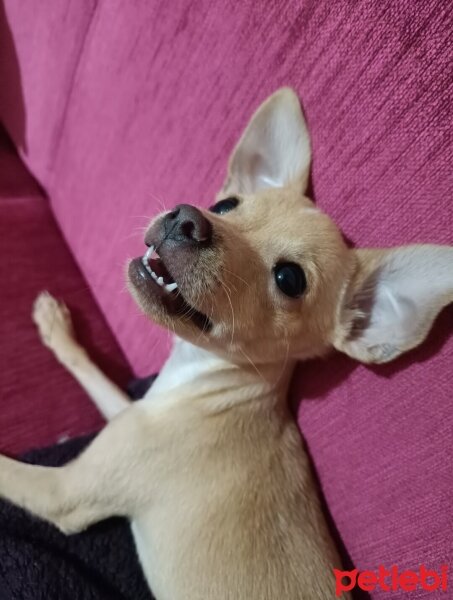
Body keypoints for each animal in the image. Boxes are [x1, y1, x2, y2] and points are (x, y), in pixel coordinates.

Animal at [0, 89, 452, 600]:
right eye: (225, 205)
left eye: (289, 279)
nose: (187, 220)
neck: (200, 375)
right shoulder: (129, 414)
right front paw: (56, 327)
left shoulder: (65, 492)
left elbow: (6, 471)